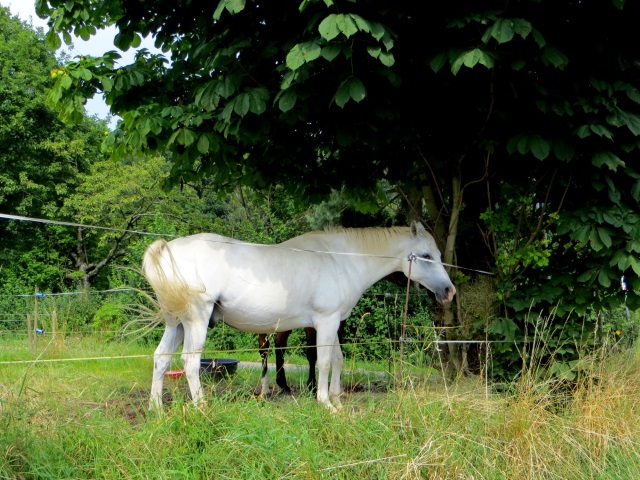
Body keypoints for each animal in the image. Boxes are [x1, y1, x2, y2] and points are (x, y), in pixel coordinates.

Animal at [144, 223, 456, 410]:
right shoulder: (326, 322)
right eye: (426, 255)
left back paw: (156, 409)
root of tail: (167, 249)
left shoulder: (332, 323)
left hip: (177, 324)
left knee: (161, 359)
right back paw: (202, 408)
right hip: (195, 321)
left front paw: (336, 400)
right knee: (190, 362)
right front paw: (325, 402)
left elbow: (337, 360)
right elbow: (325, 361)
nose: (449, 291)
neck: (340, 258)